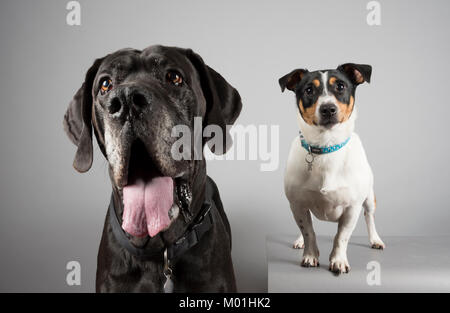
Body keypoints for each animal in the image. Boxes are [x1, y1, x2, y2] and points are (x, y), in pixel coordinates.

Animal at [280, 63, 384, 272]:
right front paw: (310, 255)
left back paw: (375, 239)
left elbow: (341, 236)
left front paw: (338, 260)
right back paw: (299, 240)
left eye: (341, 86)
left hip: (369, 198)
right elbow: (308, 231)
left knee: (370, 217)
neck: (326, 147)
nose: (328, 108)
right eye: (309, 90)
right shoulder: (297, 204)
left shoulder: (352, 208)